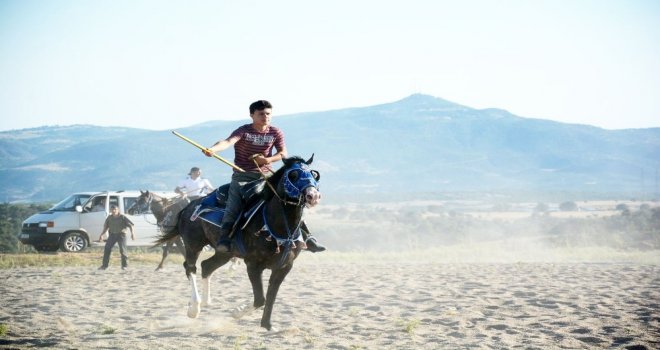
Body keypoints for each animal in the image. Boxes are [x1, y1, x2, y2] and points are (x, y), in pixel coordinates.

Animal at [155, 156, 320, 330]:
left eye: (313, 174)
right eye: (293, 174)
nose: (313, 195)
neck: (277, 226)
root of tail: (188, 206)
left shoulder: (284, 267)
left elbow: (271, 297)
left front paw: (268, 326)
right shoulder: (253, 265)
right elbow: (260, 299)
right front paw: (237, 312)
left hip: (224, 252)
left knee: (206, 266)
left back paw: (206, 301)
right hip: (193, 244)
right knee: (190, 268)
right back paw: (194, 308)